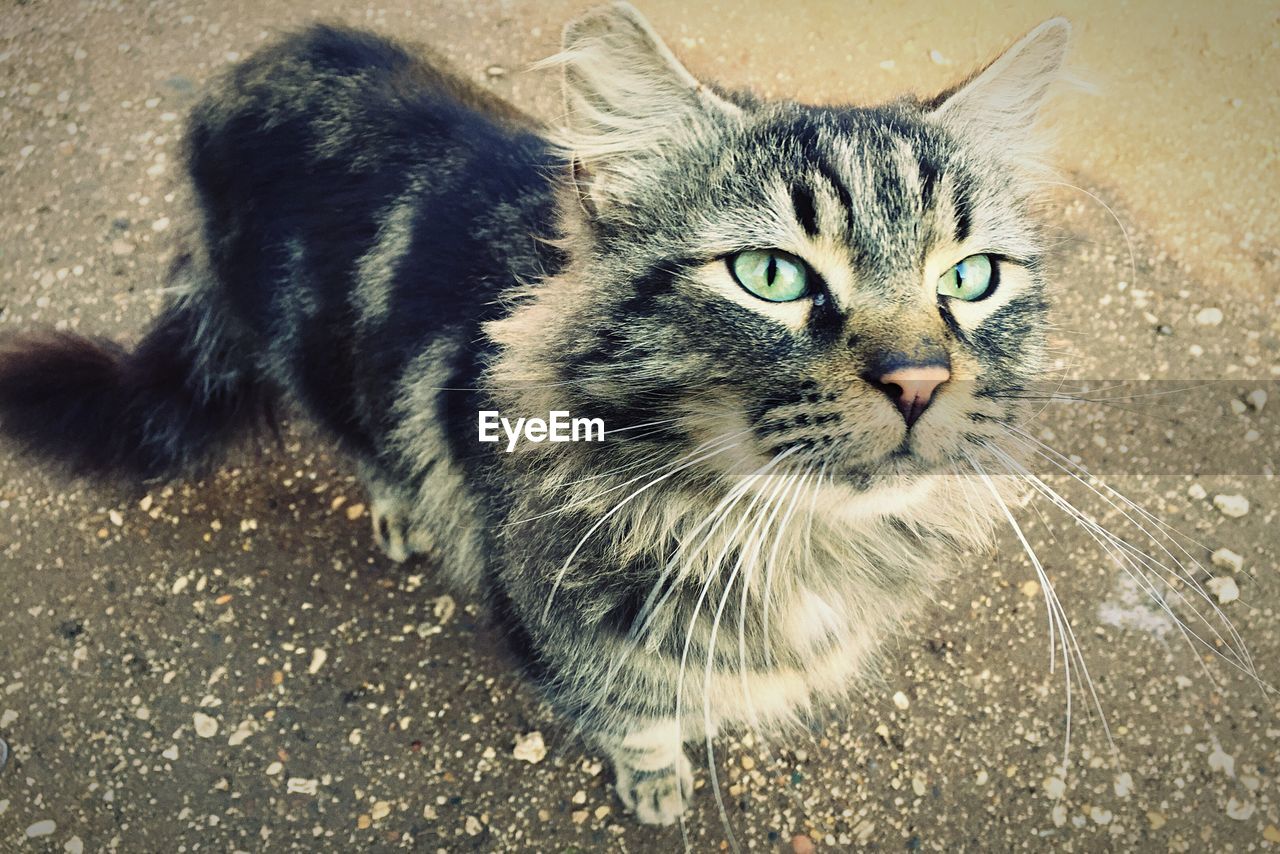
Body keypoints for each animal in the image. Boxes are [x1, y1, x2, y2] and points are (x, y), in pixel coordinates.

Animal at [0, 1, 1070, 829]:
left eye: (970, 279)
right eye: (770, 275)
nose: (919, 379)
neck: (781, 538)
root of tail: (248, 71)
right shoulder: (565, 640)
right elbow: (639, 720)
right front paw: (659, 783)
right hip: (325, 370)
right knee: (368, 446)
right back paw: (400, 513)